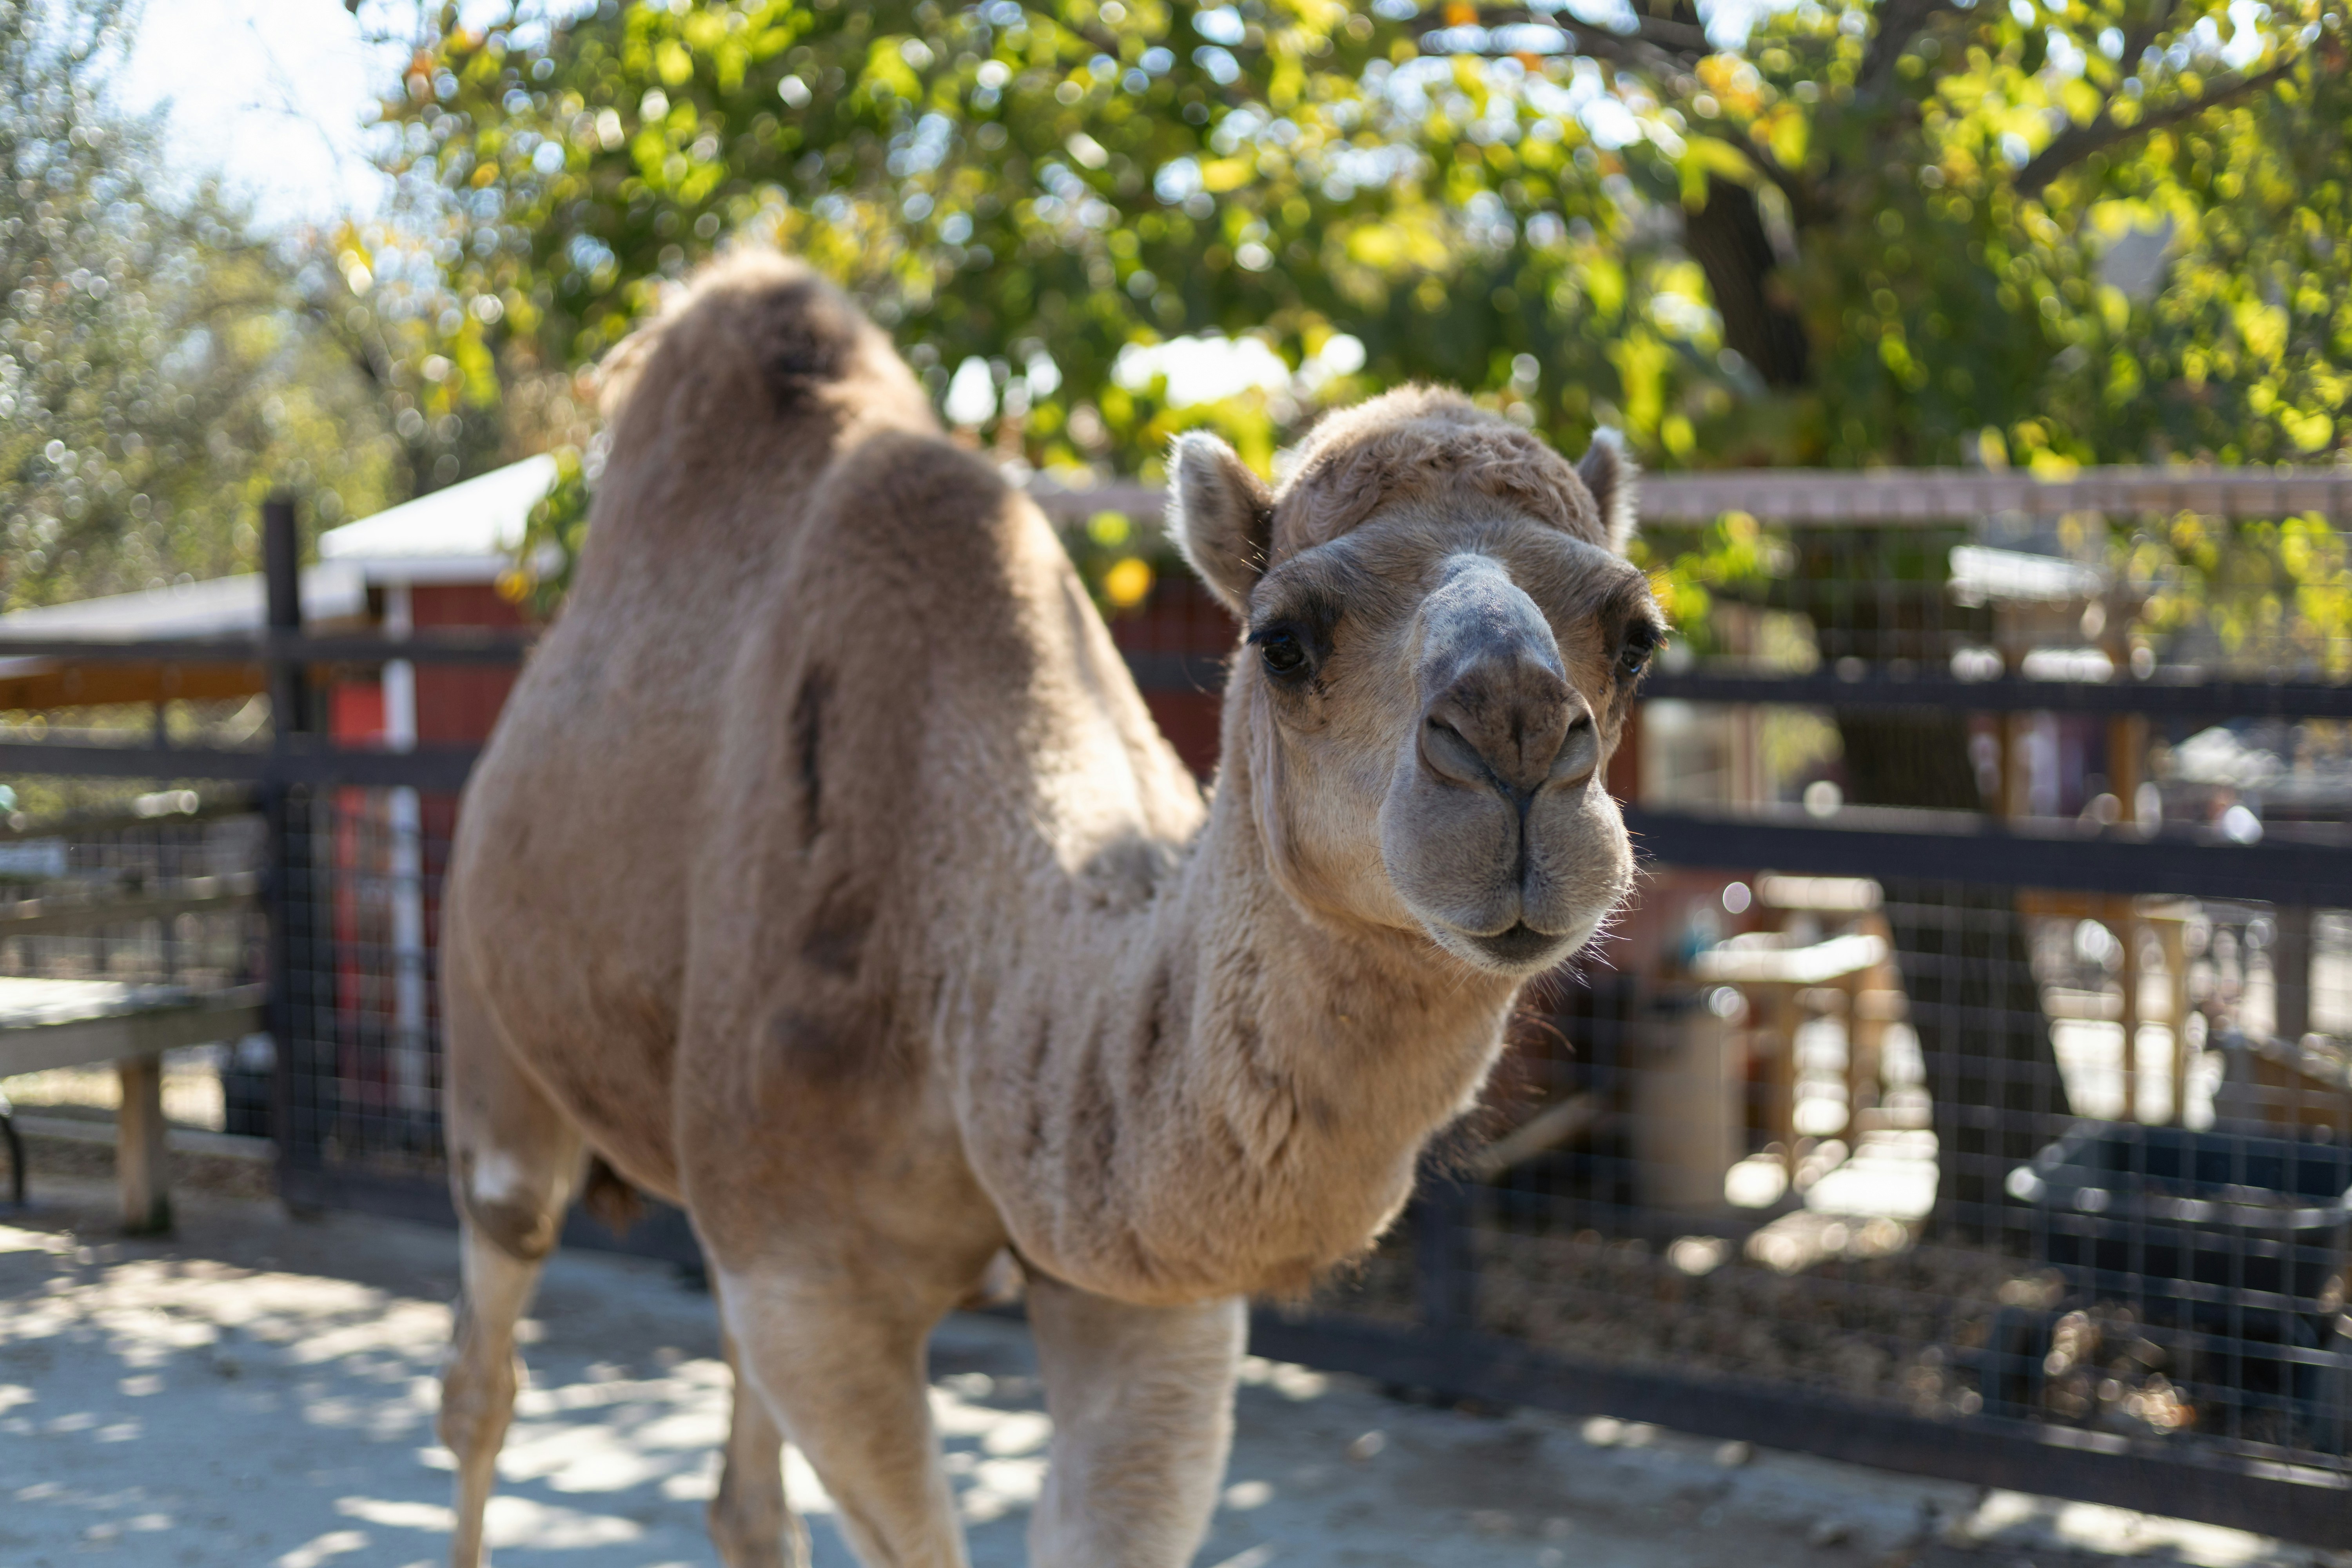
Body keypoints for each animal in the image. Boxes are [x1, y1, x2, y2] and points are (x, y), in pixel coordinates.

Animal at [436, 250, 1662, 1568]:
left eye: (1637, 636)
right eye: (1281, 639)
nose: (1515, 736)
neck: (960, 970)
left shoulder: (1145, 1299)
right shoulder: (805, 1275)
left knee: (741, 1498)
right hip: (493, 1035)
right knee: (485, 1367)